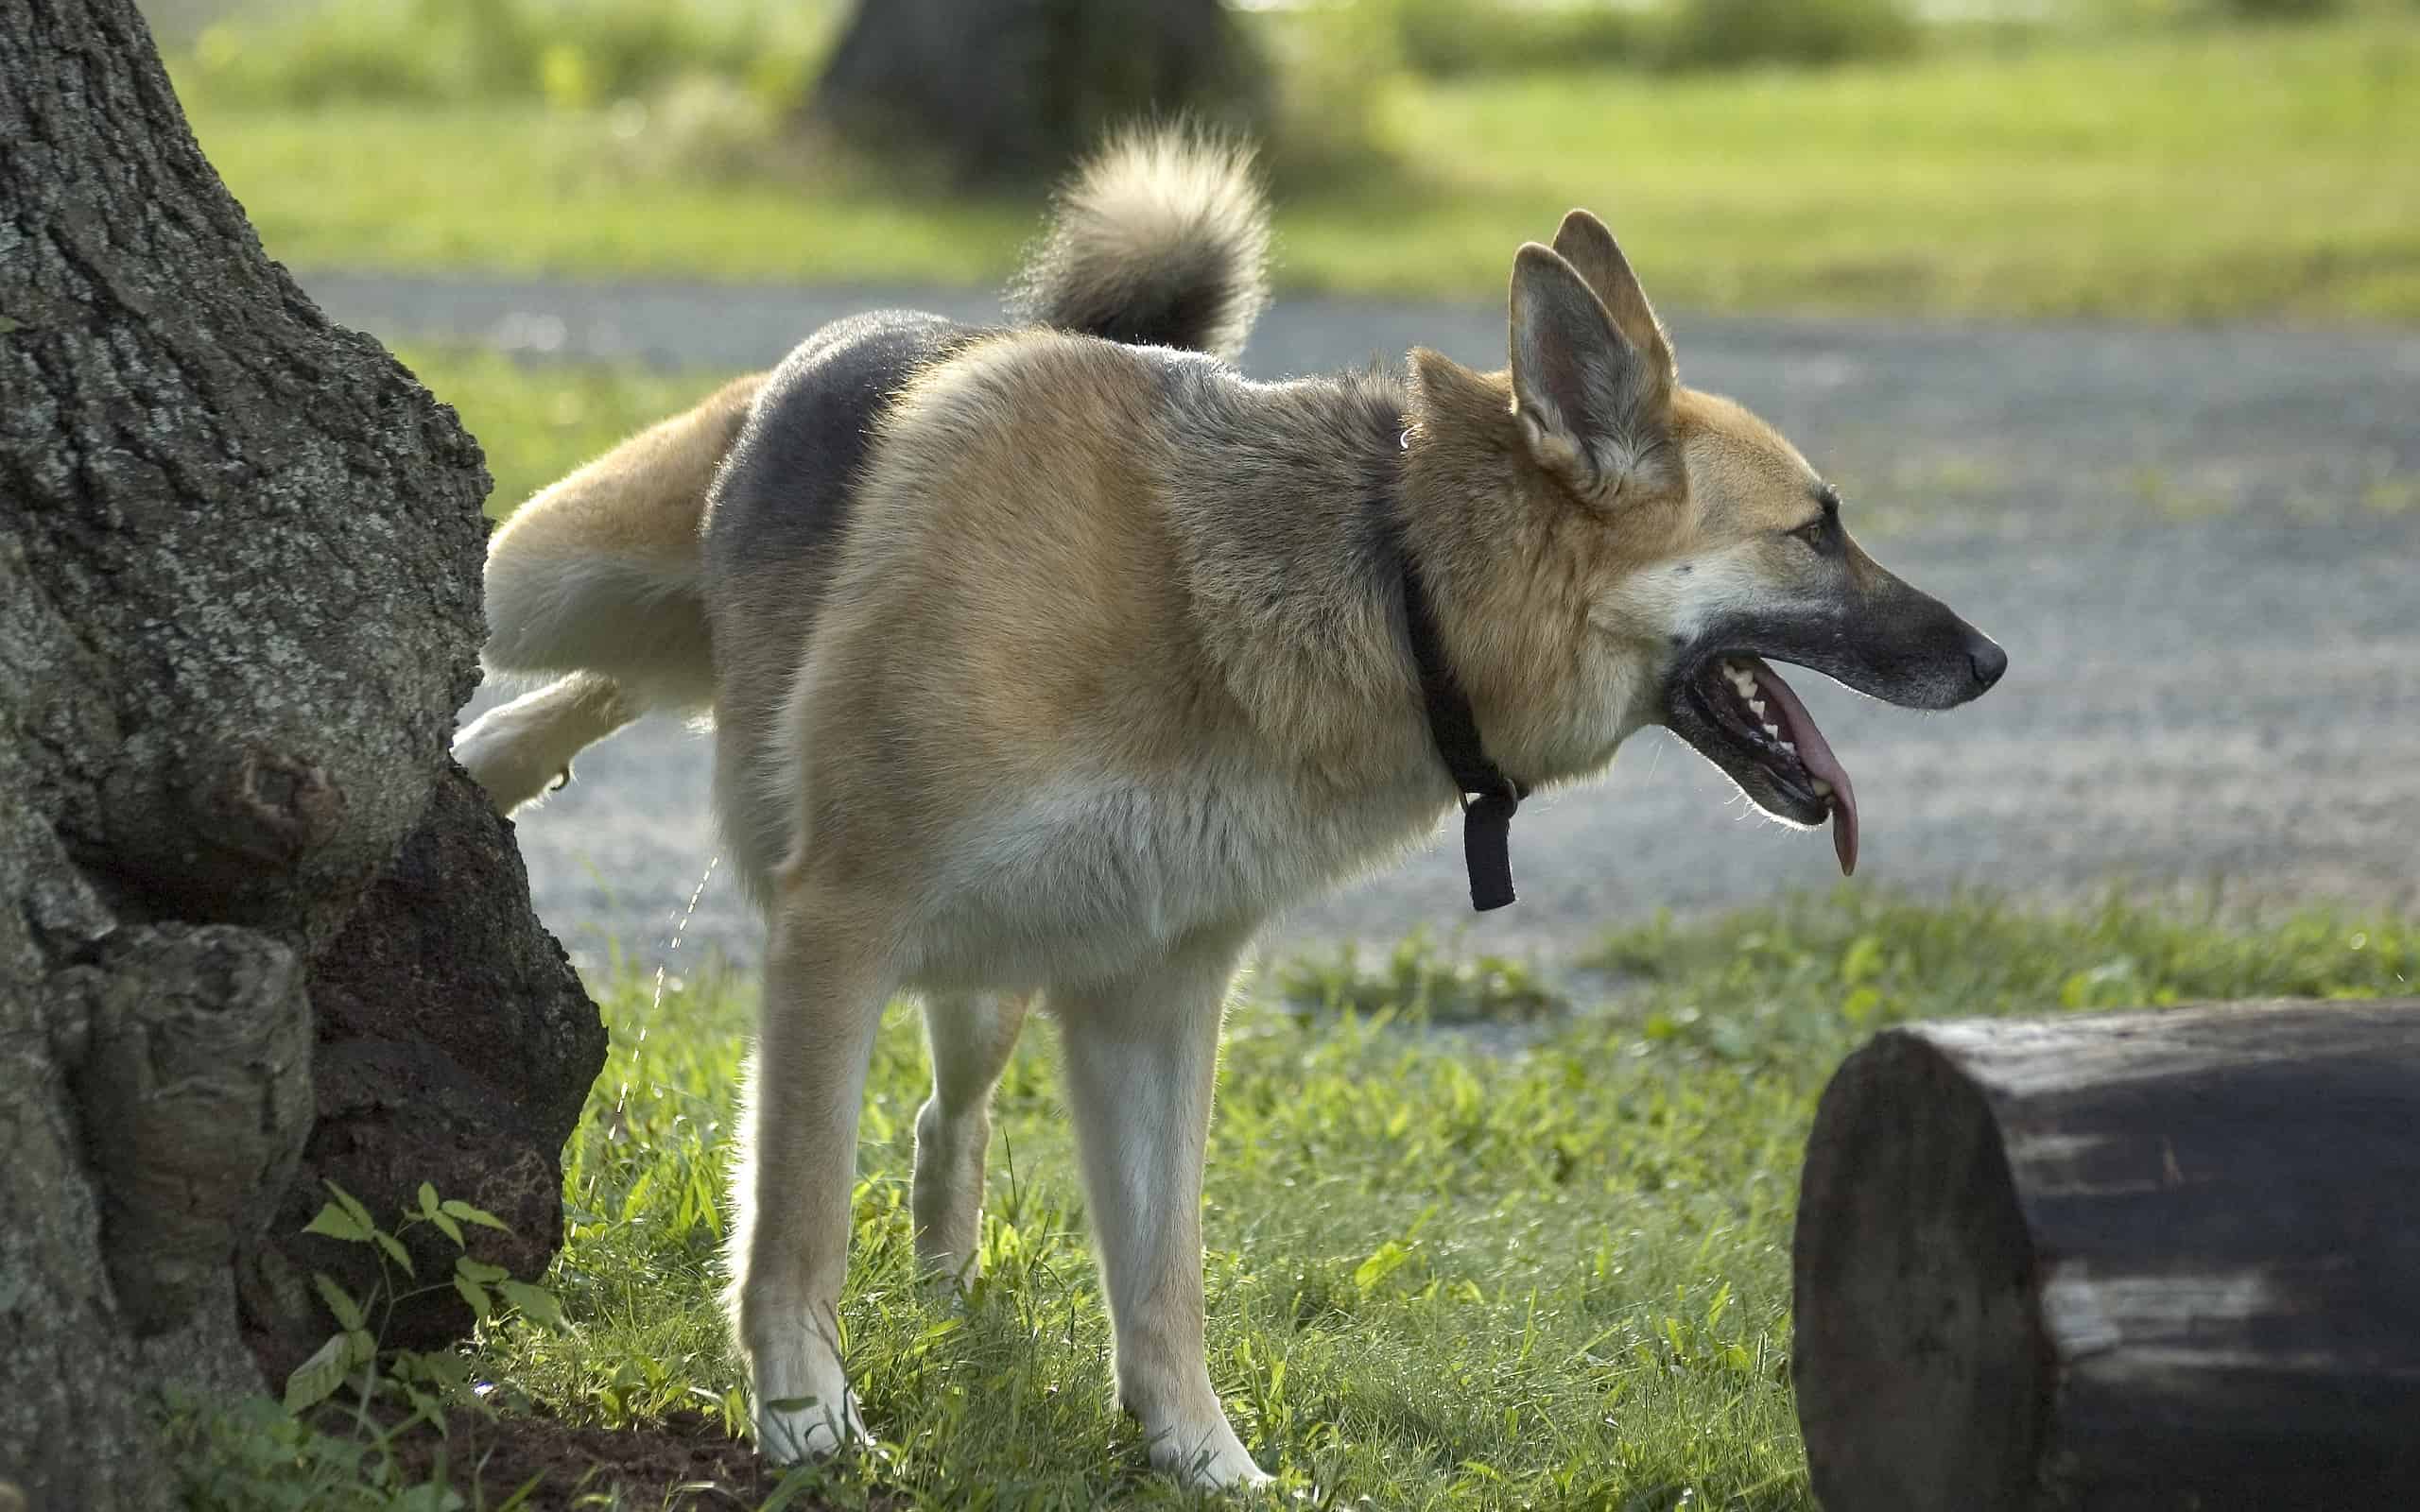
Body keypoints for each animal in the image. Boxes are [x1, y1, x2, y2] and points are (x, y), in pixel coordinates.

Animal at [455, 127, 2003, 1489]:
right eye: (1816, 531)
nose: (1990, 661)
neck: (1383, 578)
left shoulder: (1149, 995)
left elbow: (1161, 1278)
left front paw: (1204, 1461)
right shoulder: (836, 929)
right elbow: (796, 1222)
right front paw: (808, 1430)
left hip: (994, 976)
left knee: (945, 1118)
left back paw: (946, 1281)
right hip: (555, 575)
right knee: (570, 646)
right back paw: (486, 751)